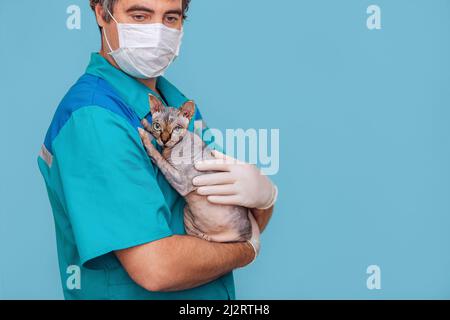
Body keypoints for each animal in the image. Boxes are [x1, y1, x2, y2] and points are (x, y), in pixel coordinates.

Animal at [136, 94, 253, 242]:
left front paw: (144, 135)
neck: (172, 148)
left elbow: (158, 157)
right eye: (158, 125)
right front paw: (146, 124)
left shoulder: (181, 182)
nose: (165, 139)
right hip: (187, 212)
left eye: (177, 128)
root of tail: (246, 234)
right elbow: (158, 148)